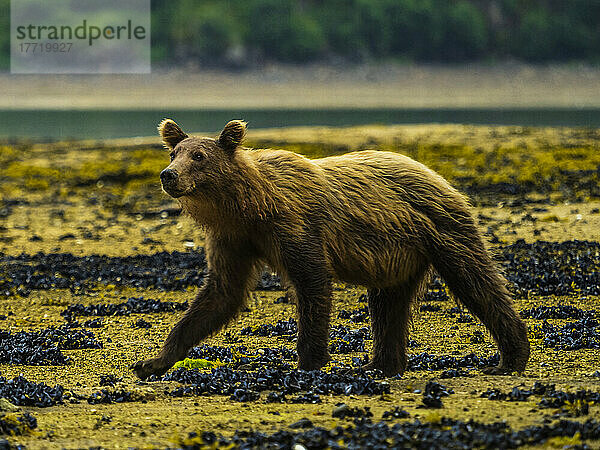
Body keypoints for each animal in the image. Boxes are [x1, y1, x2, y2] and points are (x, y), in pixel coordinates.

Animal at [132, 118, 528, 380]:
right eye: (173, 152)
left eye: (199, 156)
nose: (168, 175)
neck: (248, 206)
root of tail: (436, 173)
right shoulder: (234, 239)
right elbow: (220, 293)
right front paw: (152, 362)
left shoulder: (293, 225)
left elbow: (312, 281)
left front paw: (308, 361)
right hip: (397, 255)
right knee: (388, 304)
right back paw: (379, 364)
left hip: (440, 227)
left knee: (474, 279)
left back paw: (510, 357)